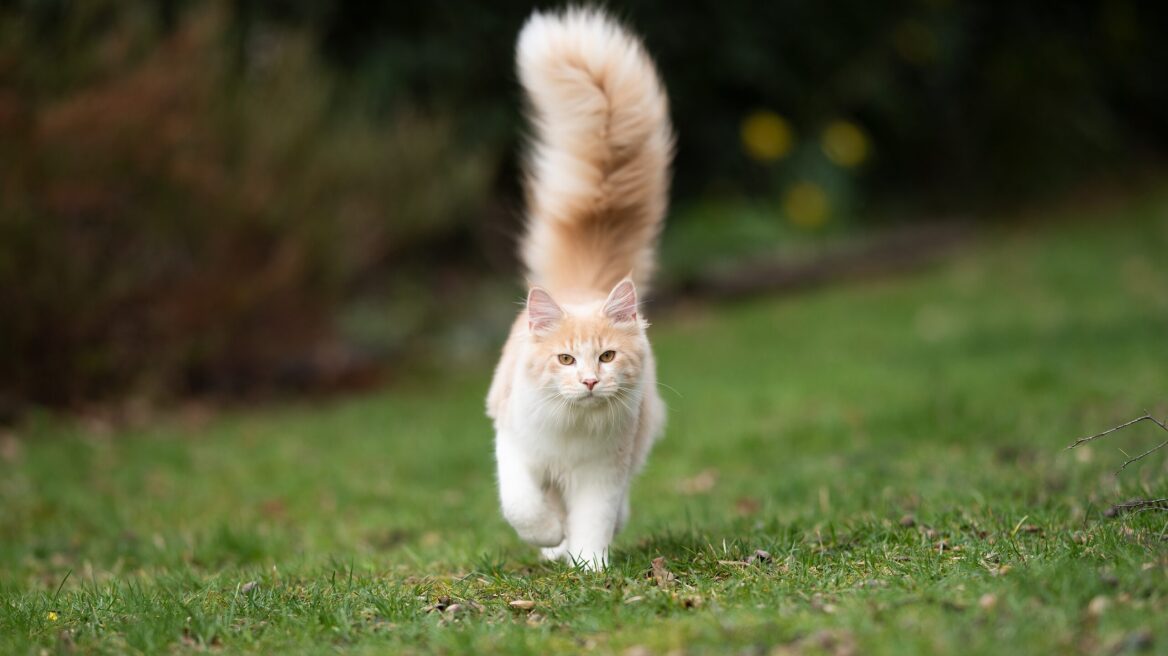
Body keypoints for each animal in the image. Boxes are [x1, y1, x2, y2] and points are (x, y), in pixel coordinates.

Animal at [485, 7, 677, 567]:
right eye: (566, 359)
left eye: (607, 357)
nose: (590, 381)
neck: (573, 429)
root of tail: (582, 286)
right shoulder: (514, 447)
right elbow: (524, 507)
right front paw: (550, 540)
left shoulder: (602, 472)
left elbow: (592, 519)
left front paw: (589, 568)